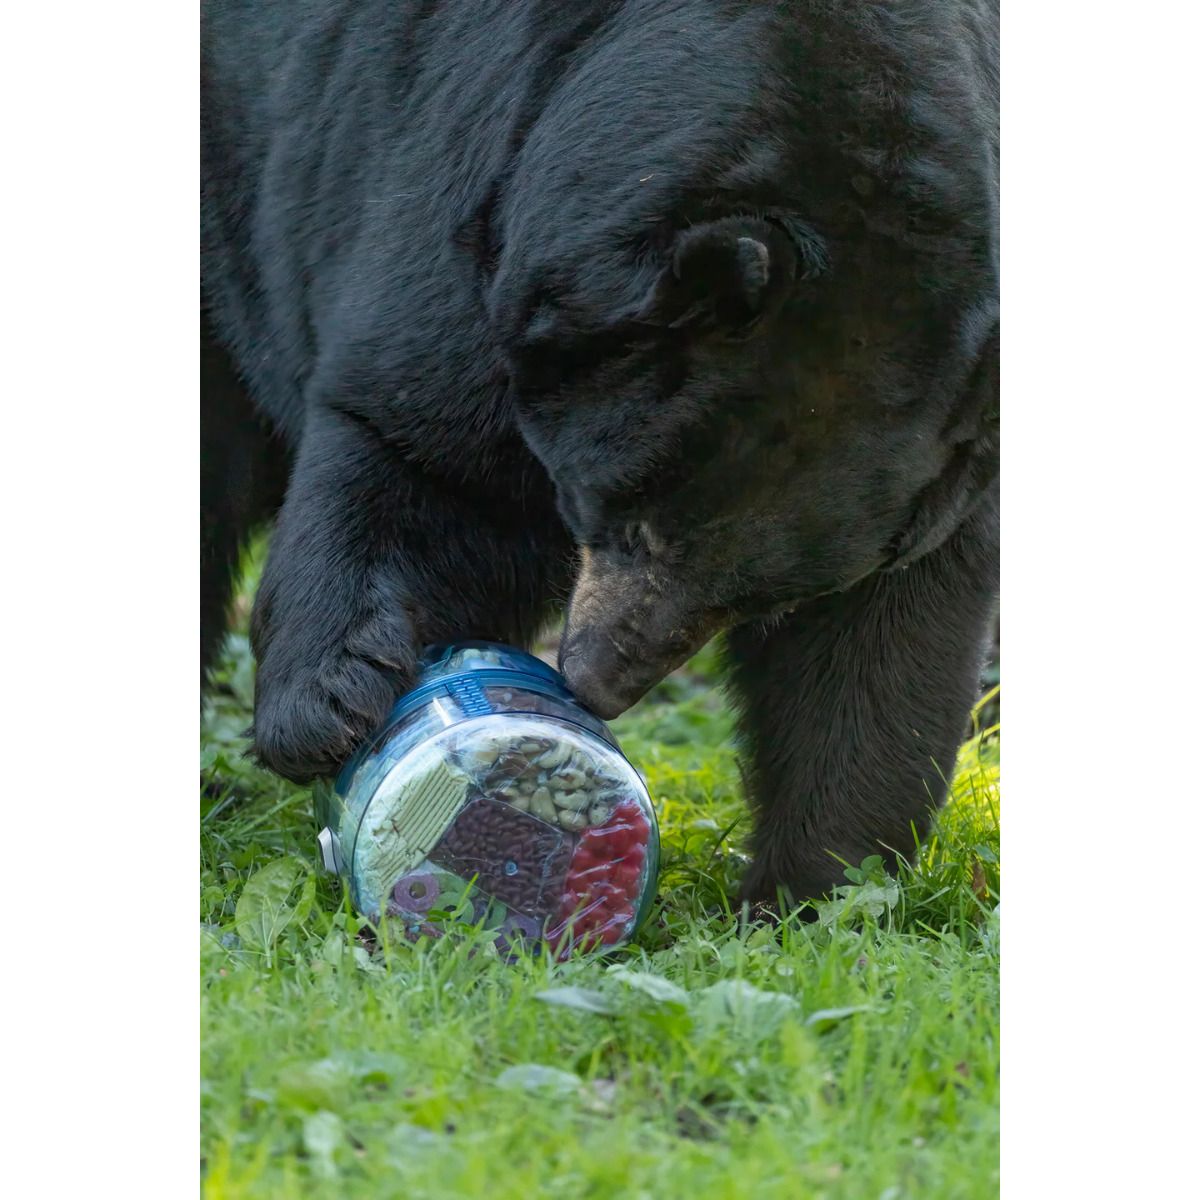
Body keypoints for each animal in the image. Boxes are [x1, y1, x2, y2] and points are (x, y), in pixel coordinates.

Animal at [201, 0, 999, 905]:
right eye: (631, 522)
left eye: (759, 598)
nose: (594, 683)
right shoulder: (478, 172)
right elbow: (422, 451)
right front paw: (324, 707)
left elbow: (881, 639)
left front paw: (812, 889)